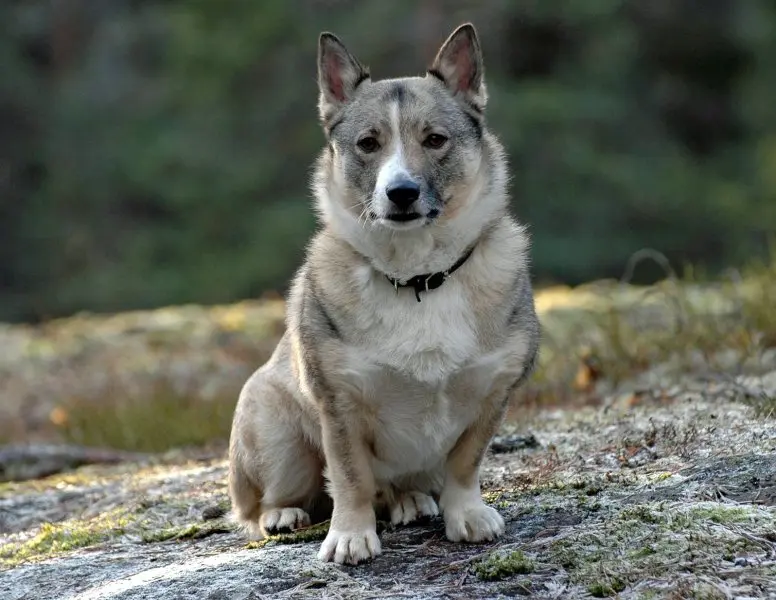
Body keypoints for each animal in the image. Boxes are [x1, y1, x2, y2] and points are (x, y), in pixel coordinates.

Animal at [227, 21, 536, 564]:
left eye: (434, 140)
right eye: (368, 144)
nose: (402, 193)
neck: (419, 278)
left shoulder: (492, 392)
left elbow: (465, 465)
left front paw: (466, 514)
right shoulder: (339, 405)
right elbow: (350, 479)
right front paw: (351, 536)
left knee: (397, 488)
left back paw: (410, 500)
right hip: (275, 436)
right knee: (266, 502)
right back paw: (283, 514)